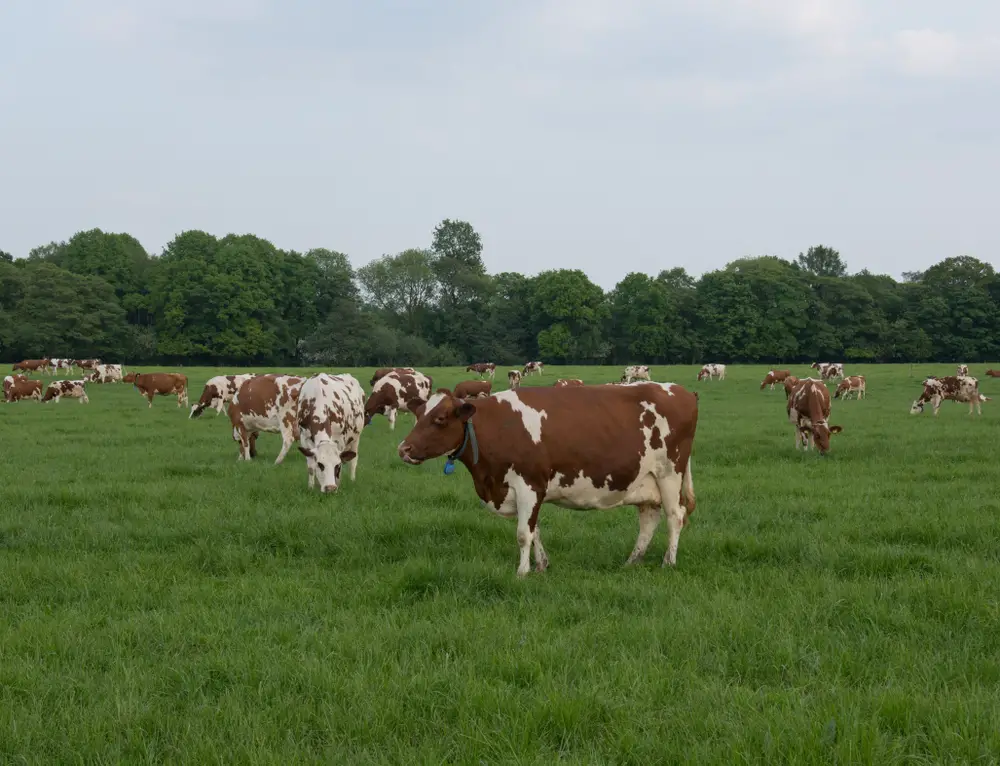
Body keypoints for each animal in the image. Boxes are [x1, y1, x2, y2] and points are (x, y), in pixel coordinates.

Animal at [394, 388, 700, 580]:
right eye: (418, 416)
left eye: (439, 419)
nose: (403, 449)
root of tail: (681, 391)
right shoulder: (528, 491)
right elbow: (534, 530)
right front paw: (541, 565)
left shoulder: (529, 484)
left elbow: (522, 533)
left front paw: (522, 572)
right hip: (645, 481)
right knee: (649, 520)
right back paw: (632, 561)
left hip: (670, 473)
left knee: (675, 516)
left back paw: (668, 562)